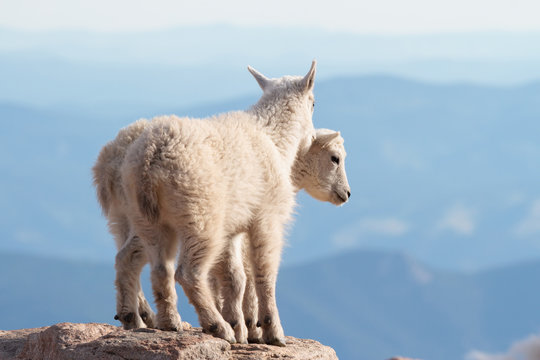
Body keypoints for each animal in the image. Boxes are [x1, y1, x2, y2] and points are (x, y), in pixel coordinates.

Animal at [93, 124, 350, 344]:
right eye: (335, 158)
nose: (346, 193)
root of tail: (107, 164)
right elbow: (244, 274)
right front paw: (250, 327)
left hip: (127, 218)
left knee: (129, 257)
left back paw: (141, 316)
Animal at [115, 62, 316, 346]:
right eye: (314, 102)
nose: (312, 137)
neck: (274, 137)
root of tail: (149, 159)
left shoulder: (232, 229)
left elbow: (235, 277)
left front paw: (240, 328)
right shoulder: (267, 217)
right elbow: (264, 273)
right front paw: (272, 332)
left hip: (147, 218)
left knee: (157, 267)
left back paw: (164, 322)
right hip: (201, 216)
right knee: (187, 272)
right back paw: (216, 326)